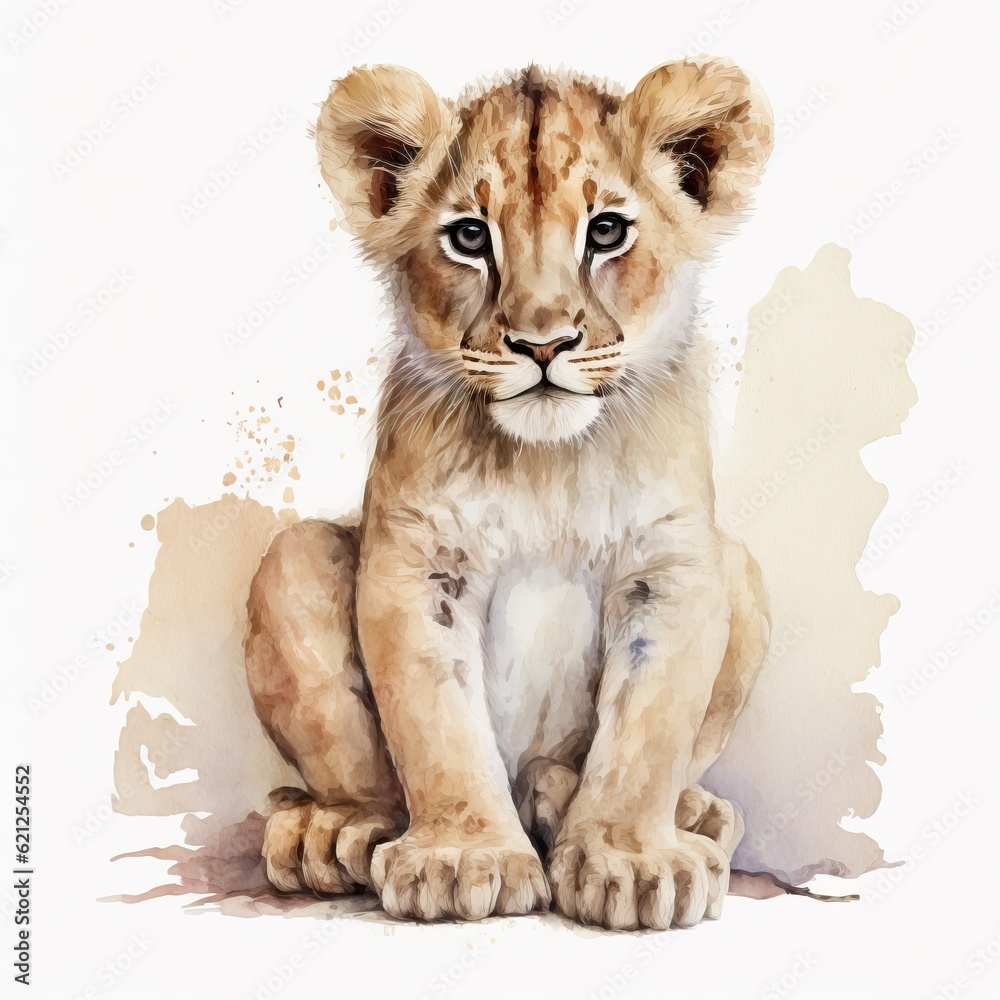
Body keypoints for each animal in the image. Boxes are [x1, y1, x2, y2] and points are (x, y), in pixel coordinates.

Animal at [244, 57, 772, 930]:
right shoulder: (415, 562)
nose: (542, 343)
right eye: (469, 237)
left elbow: (649, 731)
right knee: (363, 770)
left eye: (606, 232)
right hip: (291, 560)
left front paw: (633, 863)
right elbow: (435, 724)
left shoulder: (673, 568)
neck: (546, 462)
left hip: (744, 575)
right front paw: (461, 858)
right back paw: (333, 828)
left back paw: (647, 808)